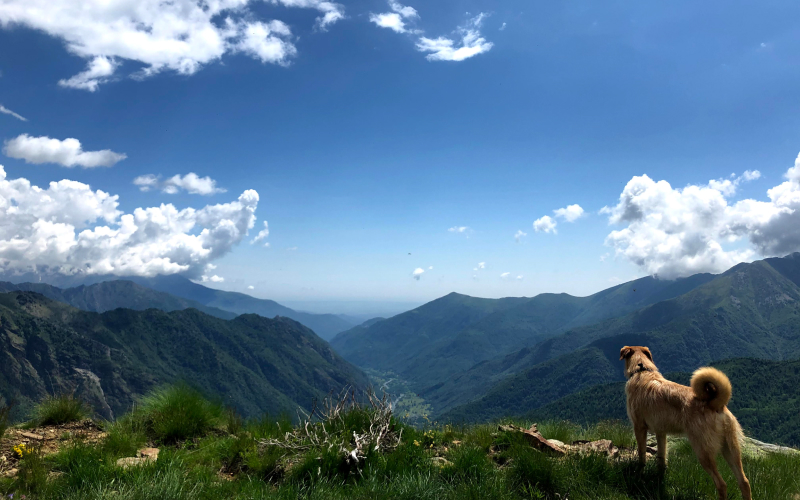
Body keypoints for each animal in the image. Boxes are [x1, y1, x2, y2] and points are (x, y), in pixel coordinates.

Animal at [620, 346, 752, 500]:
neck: (641, 370)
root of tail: (715, 404)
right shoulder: (661, 432)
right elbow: (661, 458)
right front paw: (659, 480)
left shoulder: (639, 427)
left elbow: (641, 456)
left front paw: (639, 475)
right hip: (731, 449)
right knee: (744, 482)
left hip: (703, 451)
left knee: (722, 484)